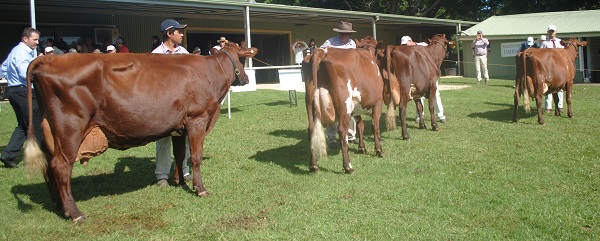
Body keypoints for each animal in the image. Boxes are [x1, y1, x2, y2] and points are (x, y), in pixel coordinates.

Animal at [24, 43, 258, 222]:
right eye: (243, 59)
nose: (247, 79)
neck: (210, 73)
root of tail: (49, 59)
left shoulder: (180, 128)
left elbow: (180, 155)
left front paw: (180, 182)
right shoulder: (197, 120)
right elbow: (196, 157)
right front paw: (199, 189)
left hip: (49, 129)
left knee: (48, 164)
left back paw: (59, 205)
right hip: (70, 128)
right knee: (61, 166)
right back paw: (75, 213)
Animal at [304, 36, 384, 173]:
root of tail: (321, 51)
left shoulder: (355, 106)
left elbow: (360, 125)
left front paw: (361, 148)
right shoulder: (378, 101)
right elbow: (375, 126)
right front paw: (379, 151)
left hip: (309, 101)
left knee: (311, 129)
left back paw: (313, 165)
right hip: (343, 103)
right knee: (342, 130)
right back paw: (348, 166)